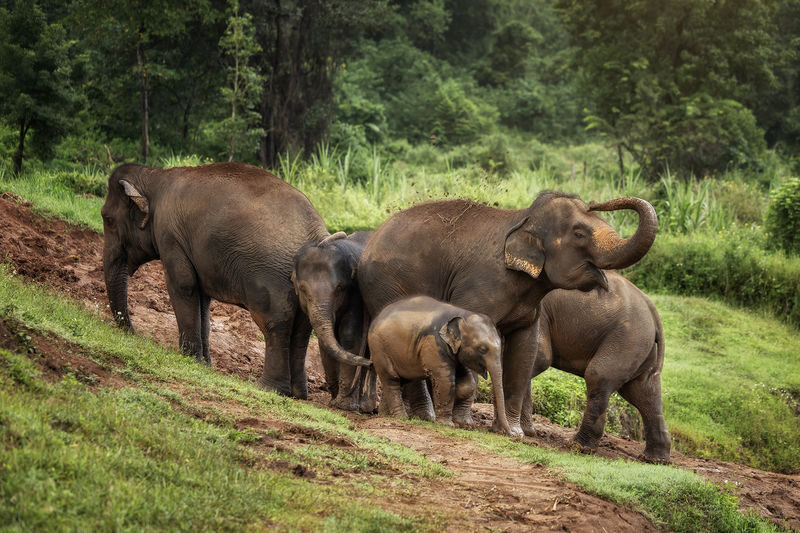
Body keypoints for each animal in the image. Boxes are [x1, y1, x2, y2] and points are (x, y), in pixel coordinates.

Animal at [101, 162, 369, 398]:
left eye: (108, 219)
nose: (133, 333)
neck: (154, 176)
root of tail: (317, 231)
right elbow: (202, 299)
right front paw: (204, 365)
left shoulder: (170, 235)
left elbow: (183, 286)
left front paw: (188, 360)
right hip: (304, 288)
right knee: (301, 330)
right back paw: (298, 394)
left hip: (270, 277)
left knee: (275, 324)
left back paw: (269, 389)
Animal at [292, 230, 376, 412]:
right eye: (302, 289)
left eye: (339, 288)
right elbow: (326, 343)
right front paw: (334, 401)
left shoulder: (356, 294)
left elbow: (351, 335)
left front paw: (344, 406)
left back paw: (367, 407)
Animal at [368, 295, 511, 434]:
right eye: (482, 349)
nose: (510, 434)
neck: (462, 314)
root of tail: (377, 317)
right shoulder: (434, 344)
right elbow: (445, 382)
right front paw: (447, 425)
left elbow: (468, 383)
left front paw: (464, 425)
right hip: (379, 349)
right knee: (391, 380)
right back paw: (401, 417)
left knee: (402, 380)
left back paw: (385, 415)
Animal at [531, 271, 671, 463]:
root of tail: (651, 308)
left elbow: (540, 356)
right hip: (641, 345)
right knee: (643, 392)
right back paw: (654, 459)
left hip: (627, 339)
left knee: (598, 375)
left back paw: (578, 447)